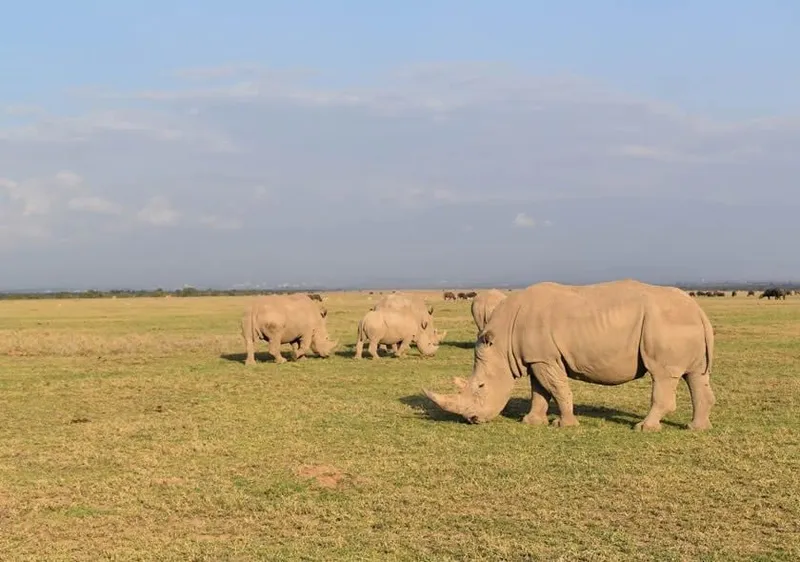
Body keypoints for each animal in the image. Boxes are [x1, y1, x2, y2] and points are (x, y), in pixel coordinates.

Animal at [424, 279, 716, 431]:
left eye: (481, 387)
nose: (471, 420)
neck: (501, 343)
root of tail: (700, 311)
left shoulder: (544, 358)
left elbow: (557, 388)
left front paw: (564, 425)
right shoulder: (536, 357)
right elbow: (539, 391)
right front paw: (532, 422)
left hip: (665, 324)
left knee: (663, 375)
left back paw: (643, 428)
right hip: (681, 323)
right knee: (695, 375)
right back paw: (696, 428)